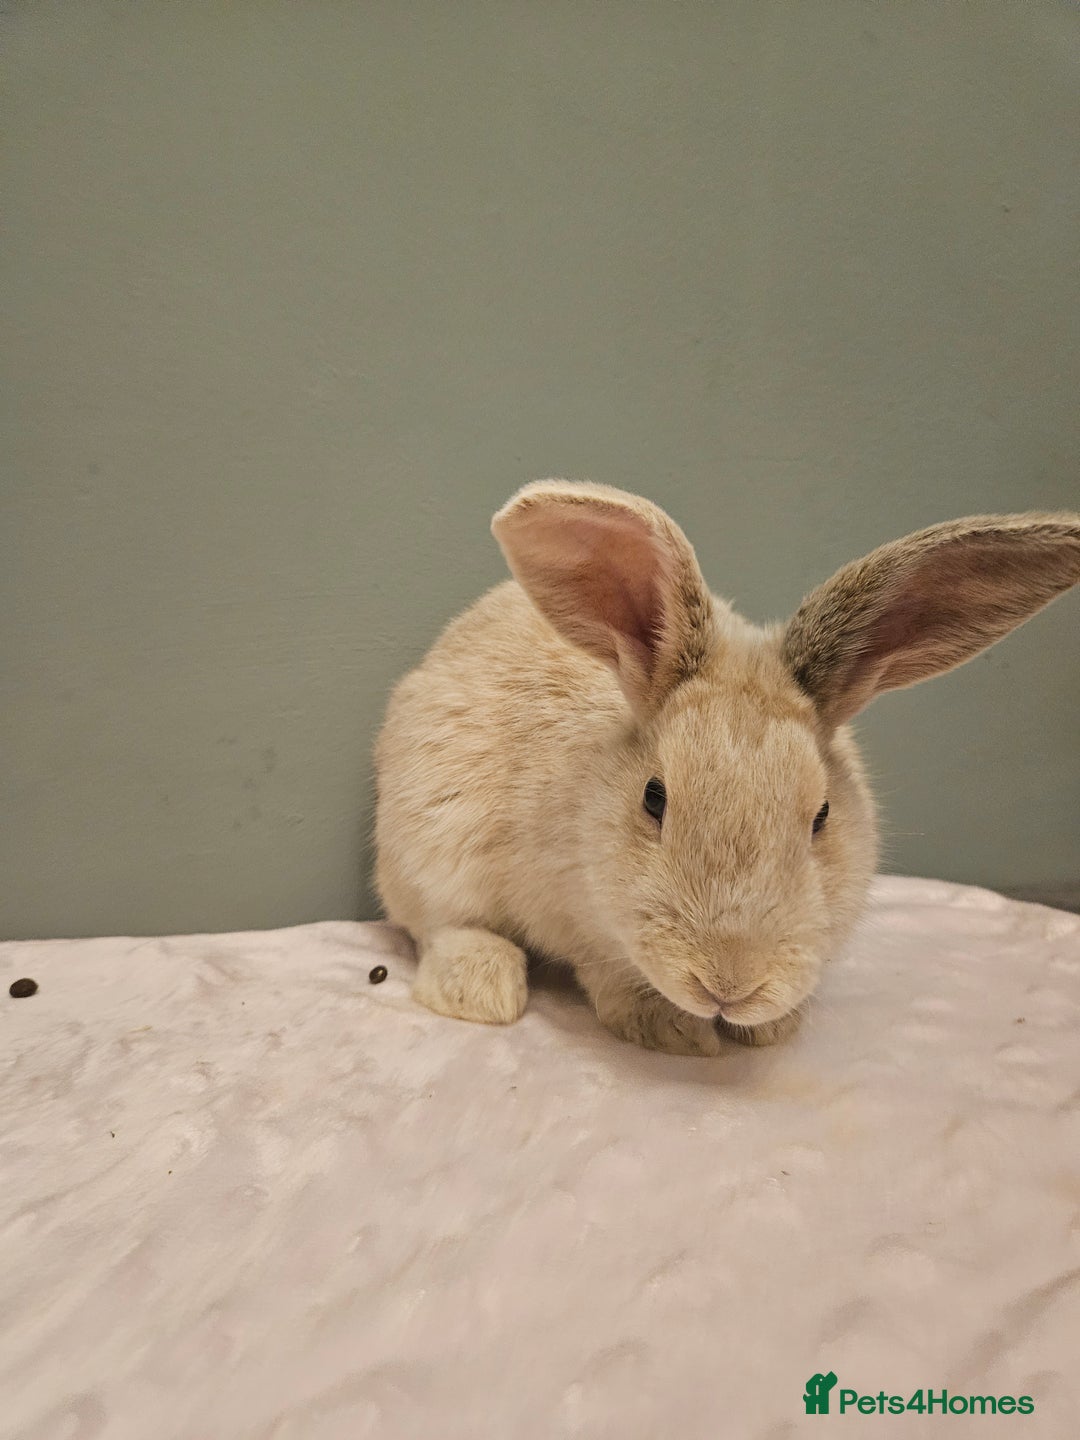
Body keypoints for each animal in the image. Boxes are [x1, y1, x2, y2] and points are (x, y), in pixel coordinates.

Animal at [374, 481, 1080, 1056]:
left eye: (822, 817)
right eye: (654, 798)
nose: (730, 987)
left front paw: (770, 1028)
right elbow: (608, 973)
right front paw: (673, 1030)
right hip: (425, 848)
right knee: (442, 925)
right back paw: (483, 988)